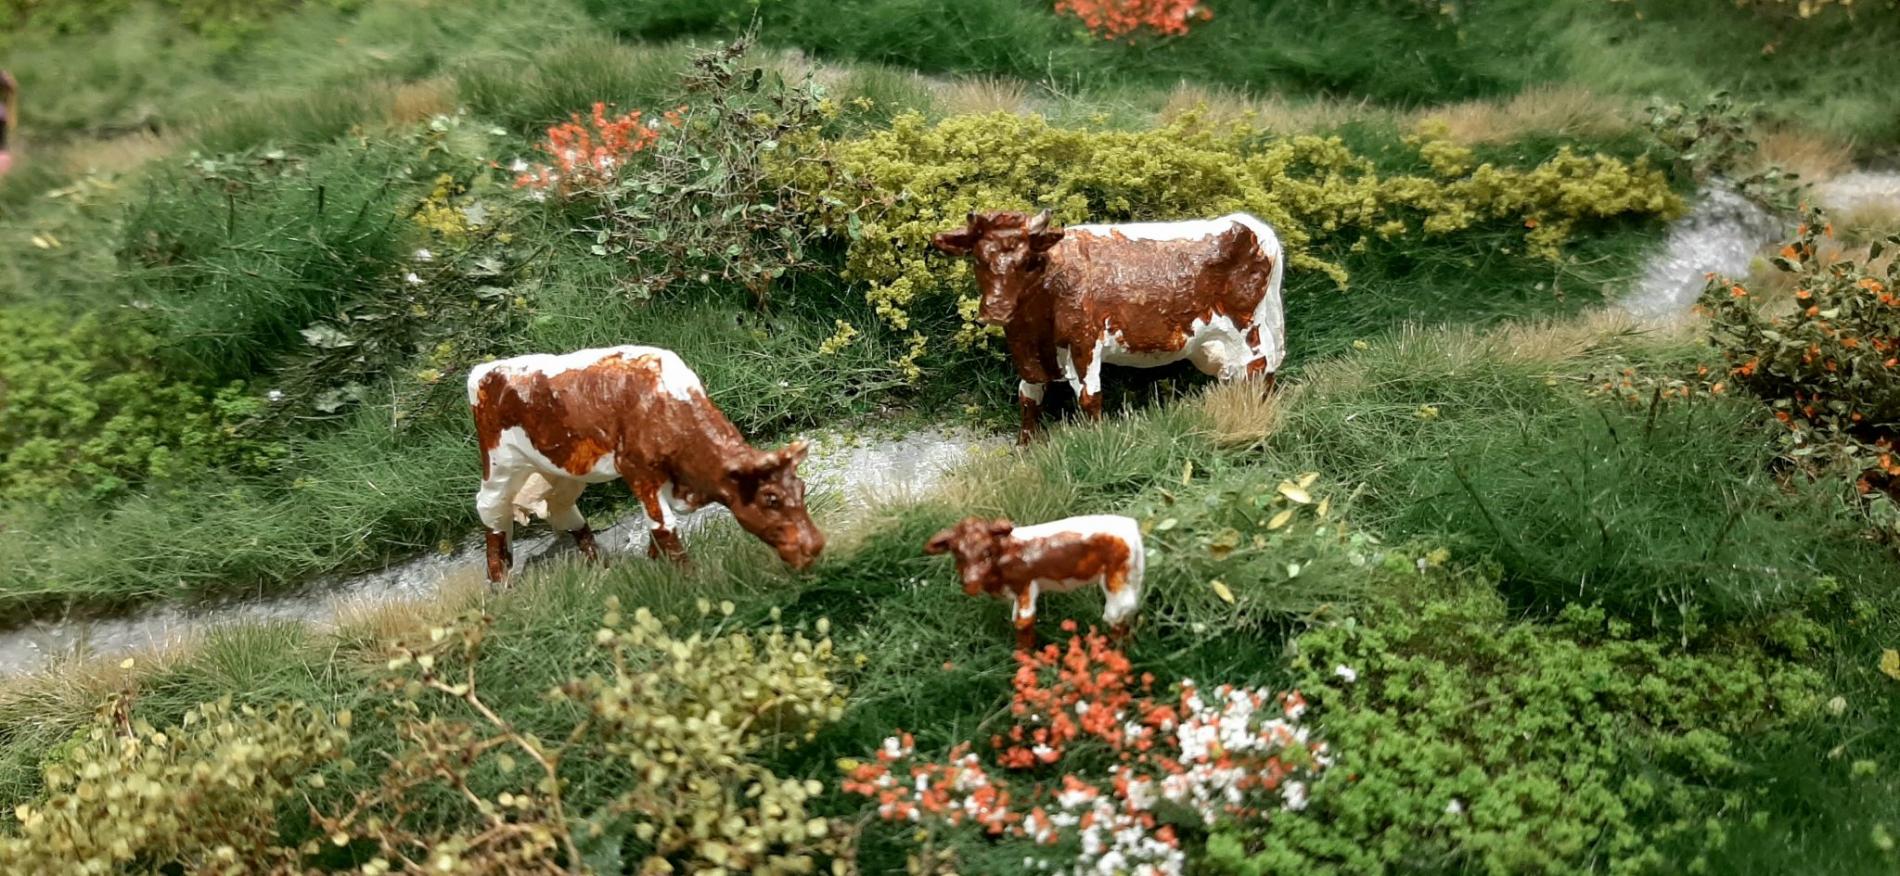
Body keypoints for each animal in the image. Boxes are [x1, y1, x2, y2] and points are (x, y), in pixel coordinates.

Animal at [469, 343, 824, 585]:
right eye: (770, 499)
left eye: (802, 490)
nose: (815, 546)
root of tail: (484, 371)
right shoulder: (638, 471)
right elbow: (664, 526)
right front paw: (692, 581)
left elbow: (657, 527)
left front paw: (653, 564)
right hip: (502, 464)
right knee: (490, 507)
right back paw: (499, 579)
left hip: (560, 468)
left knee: (561, 507)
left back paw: (599, 568)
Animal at [919, 513, 1140, 649]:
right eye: (957, 555)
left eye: (987, 552)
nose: (971, 584)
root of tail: (1130, 524)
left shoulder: (1025, 587)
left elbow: (1023, 623)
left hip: (1117, 580)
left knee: (1117, 615)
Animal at [931, 209, 1284, 444]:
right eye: (978, 259)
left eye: (1027, 261)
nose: (997, 309)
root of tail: (1250, 223)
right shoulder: (1029, 353)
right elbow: (1028, 397)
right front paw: (1023, 450)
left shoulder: (1084, 342)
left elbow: (1090, 397)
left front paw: (1095, 441)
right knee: (1240, 370)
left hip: (1245, 324)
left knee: (1259, 363)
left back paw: (1256, 412)